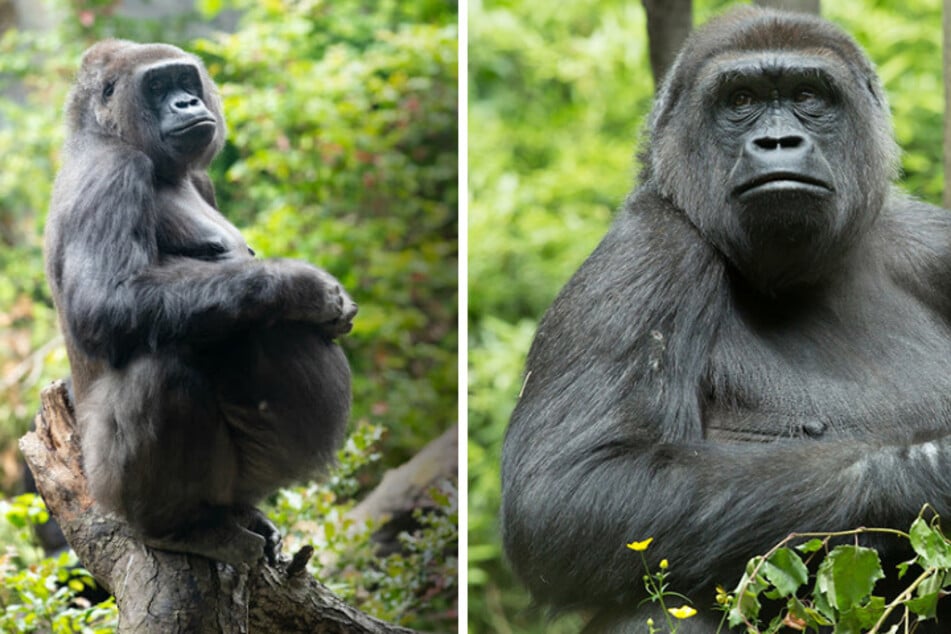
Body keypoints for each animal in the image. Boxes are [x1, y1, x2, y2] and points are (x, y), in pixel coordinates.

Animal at [44, 39, 356, 564]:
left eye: (185, 81)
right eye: (156, 86)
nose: (187, 103)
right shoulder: (113, 171)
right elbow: (107, 303)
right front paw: (303, 288)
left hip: (244, 480)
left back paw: (240, 515)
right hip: (107, 489)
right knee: (161, 371)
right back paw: (175, 528)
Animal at [502, 6, 951, 632]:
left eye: (808, 94)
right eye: (740, 99)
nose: (777, 140)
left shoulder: (936, 245)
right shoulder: (648, 247)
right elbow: (567, 487)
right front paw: (935, 469)